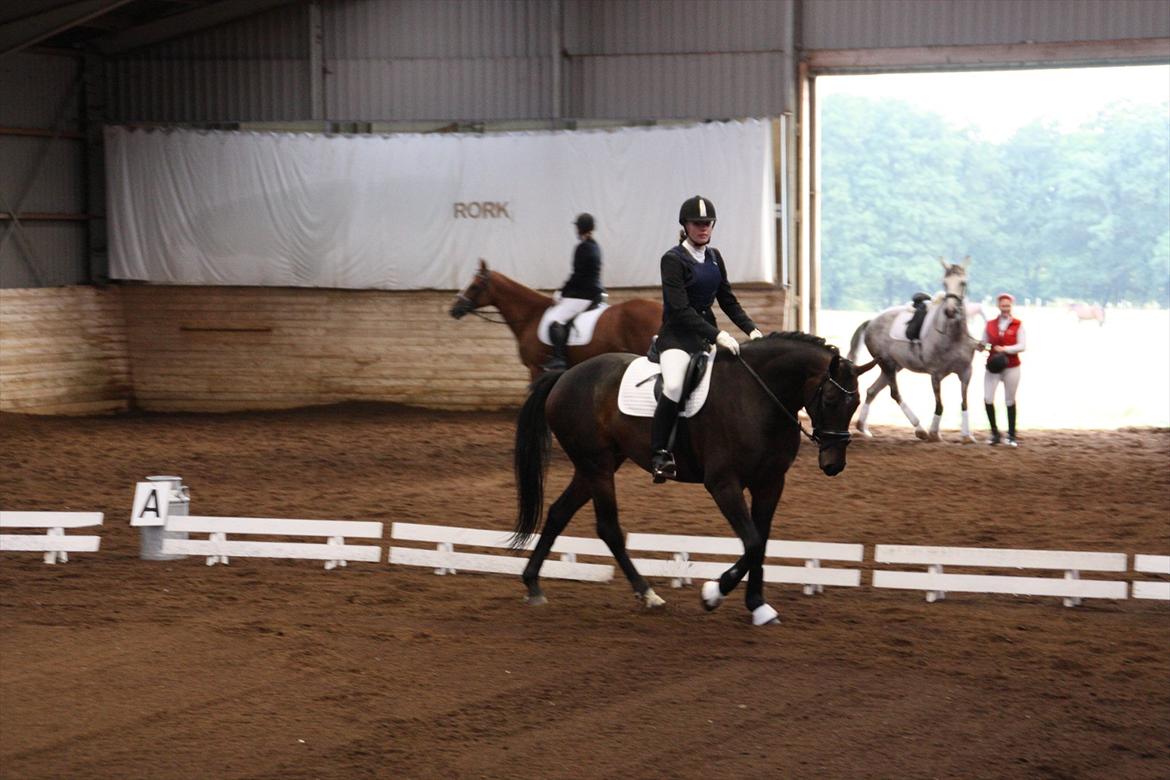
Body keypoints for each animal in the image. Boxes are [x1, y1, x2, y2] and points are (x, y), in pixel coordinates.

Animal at [517, 332, 875, 626]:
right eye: (829, 400)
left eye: (856, 403)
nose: (833, 464)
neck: (758, 397)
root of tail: (565, 375)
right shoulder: (723, 483)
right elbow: (752, 542)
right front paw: (713, 594)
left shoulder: (770, 483)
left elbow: (760, 543)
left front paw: (758, 606)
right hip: (598, 466)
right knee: (608, 528)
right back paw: (649, 595)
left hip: (593, 467)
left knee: (559, 513)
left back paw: (533, 584)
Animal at [847, 259, 982, 442]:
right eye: (945, 283)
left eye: (963, 282)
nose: (950, 311)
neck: (953, 336)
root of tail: (872, 321)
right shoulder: (936, 375)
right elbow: (939, 405)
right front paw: (934, 433)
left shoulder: (966, 372)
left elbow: (964, 402)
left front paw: (967, 436)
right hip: (887, 364)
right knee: (895, 394)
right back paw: (920, 429)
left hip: (893, 366)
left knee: (872, 391)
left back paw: (863, 427)